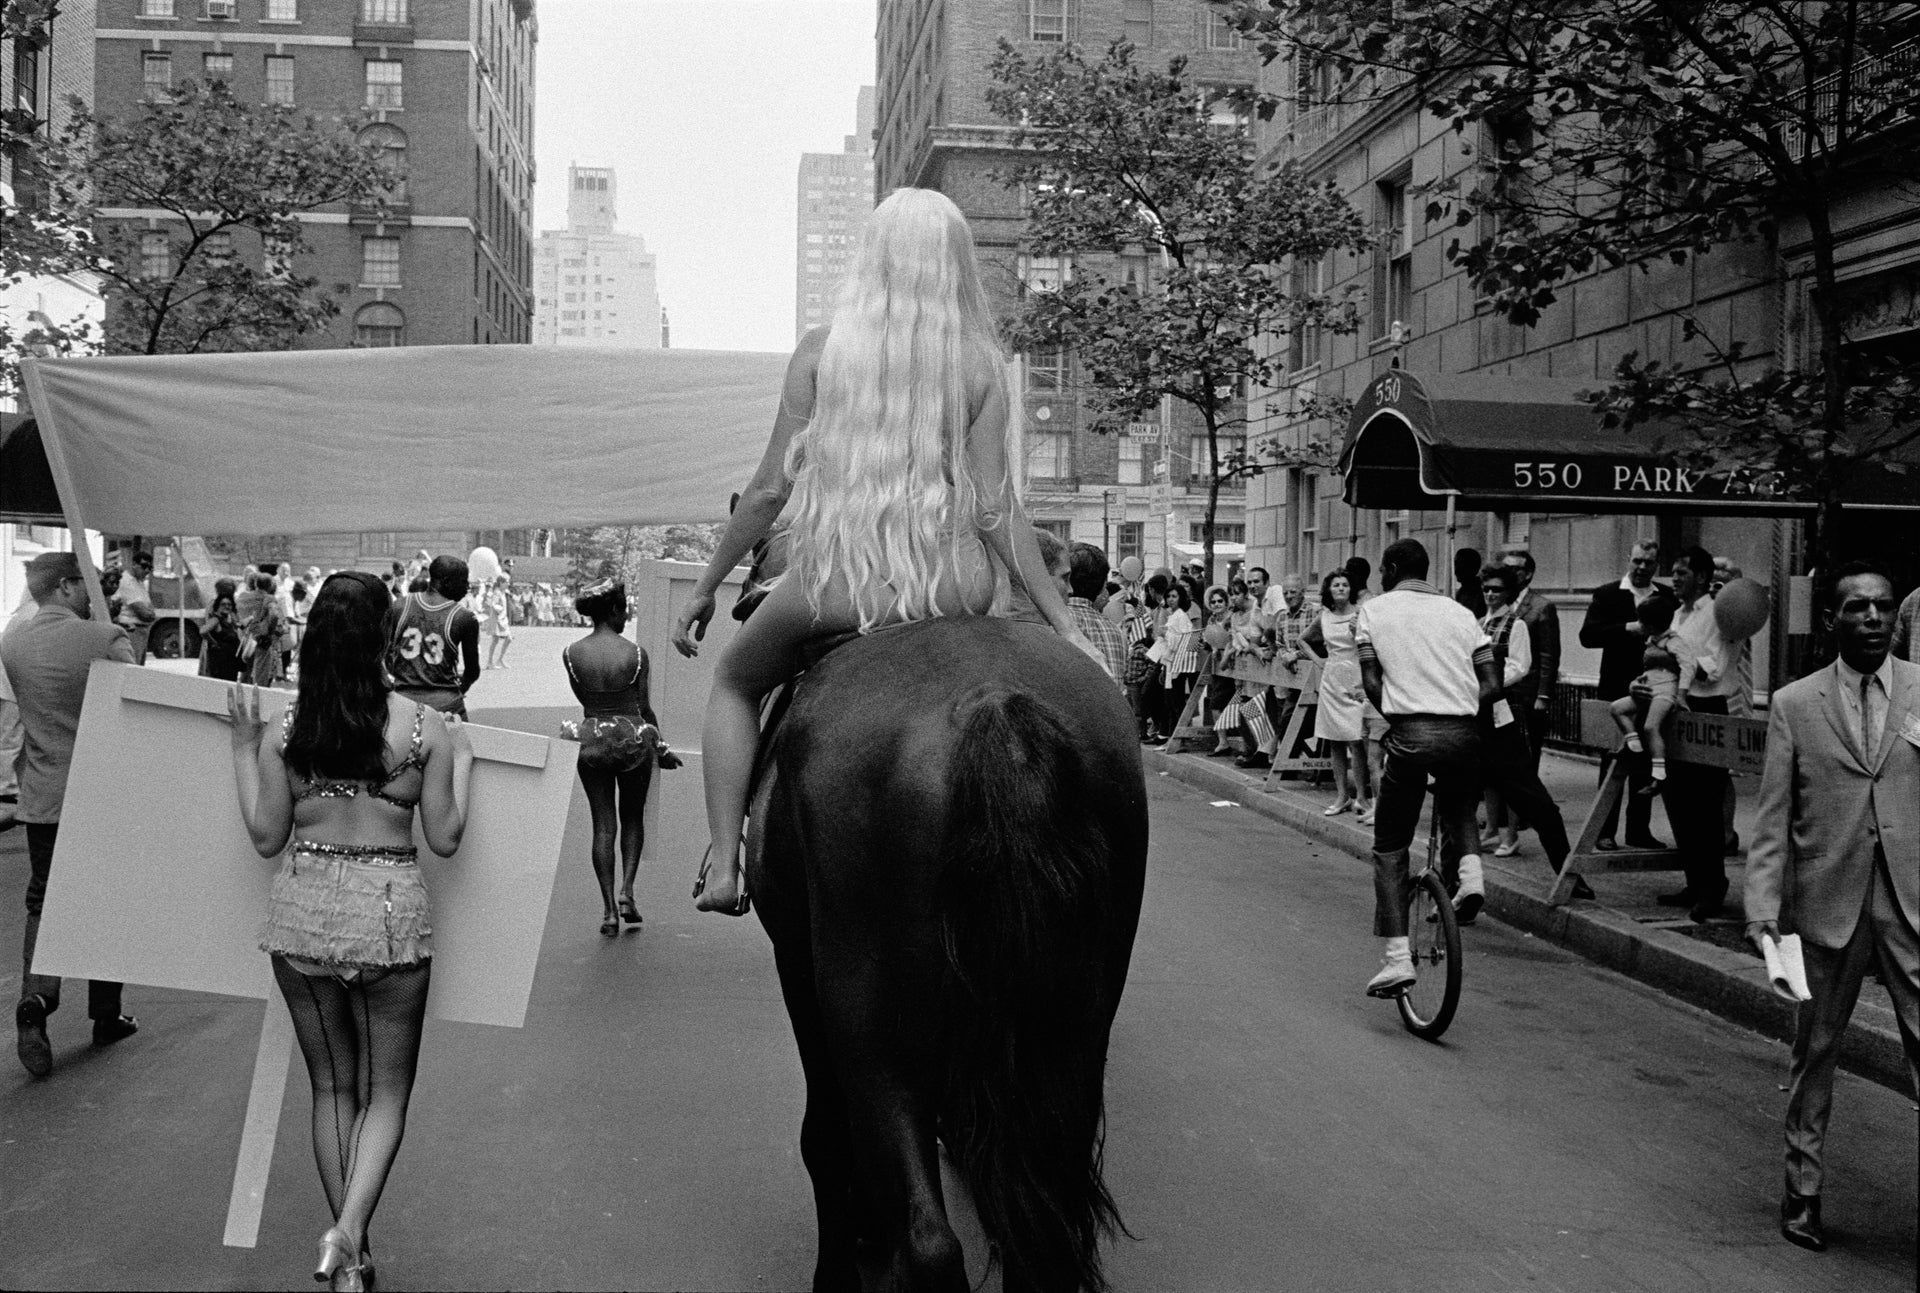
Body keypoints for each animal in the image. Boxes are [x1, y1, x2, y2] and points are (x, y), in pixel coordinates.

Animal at [744, 614, 1136, 1291]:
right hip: (1078, 1032)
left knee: (928, 1241)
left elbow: (825, 1137)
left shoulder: (796, 963)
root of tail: (996, 703)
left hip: (870, 1023)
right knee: (1047, 1235)